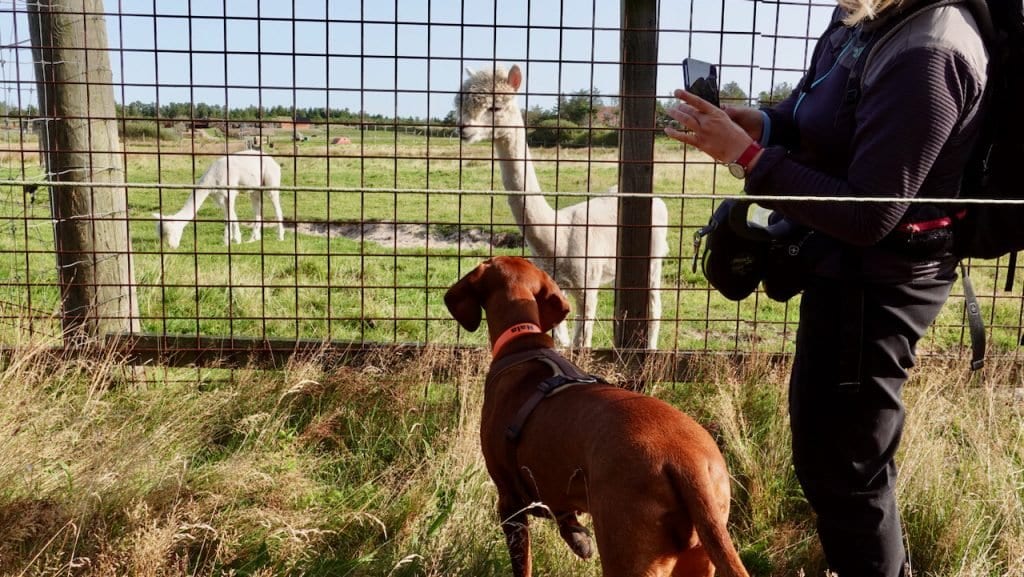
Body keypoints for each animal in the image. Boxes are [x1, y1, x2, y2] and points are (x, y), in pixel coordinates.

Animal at [444, 256, 749, 577]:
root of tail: (686, 461)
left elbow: (523, 564)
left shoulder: (510, 501)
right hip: (701, 553)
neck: (523, 341)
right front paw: (578, 537)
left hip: (626, 552)